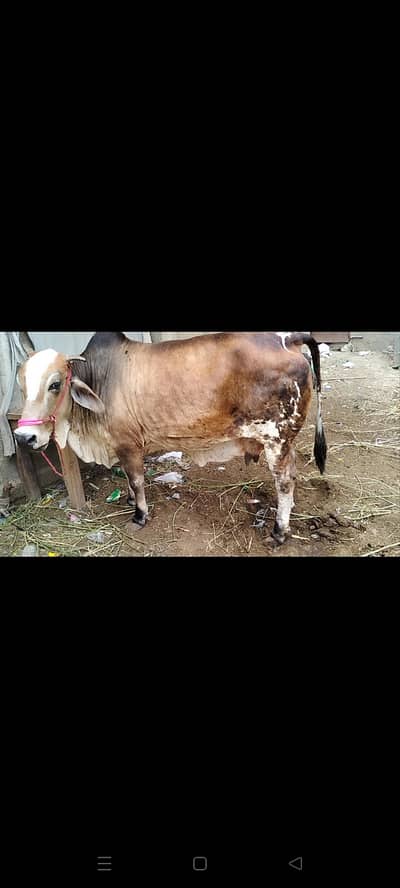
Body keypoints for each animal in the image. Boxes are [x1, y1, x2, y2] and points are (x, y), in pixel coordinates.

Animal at [14, 332, 327, 545]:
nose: (24, 437)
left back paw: (279, 531)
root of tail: (288, 339)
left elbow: (136, 480)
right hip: (286, 442)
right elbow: (129, 481)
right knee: (293, 474)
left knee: (284, 482)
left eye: (55, 384)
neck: (100, 379)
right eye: (21, 386)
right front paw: (129, 500)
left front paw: (139, 515)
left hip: (276, 439)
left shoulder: (128, 444)